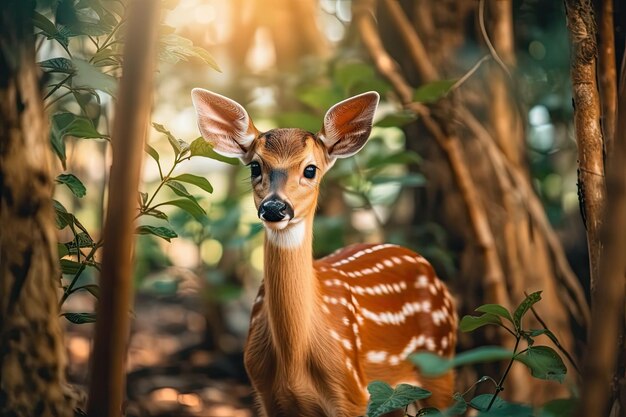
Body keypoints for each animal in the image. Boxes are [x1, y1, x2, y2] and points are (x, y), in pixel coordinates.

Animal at [189, 88, 454, 416]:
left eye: (310, 169)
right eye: (255, 166)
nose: (274, 207)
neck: (294, 360)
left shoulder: (352, 392)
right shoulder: (267, 395)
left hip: (441, 360)